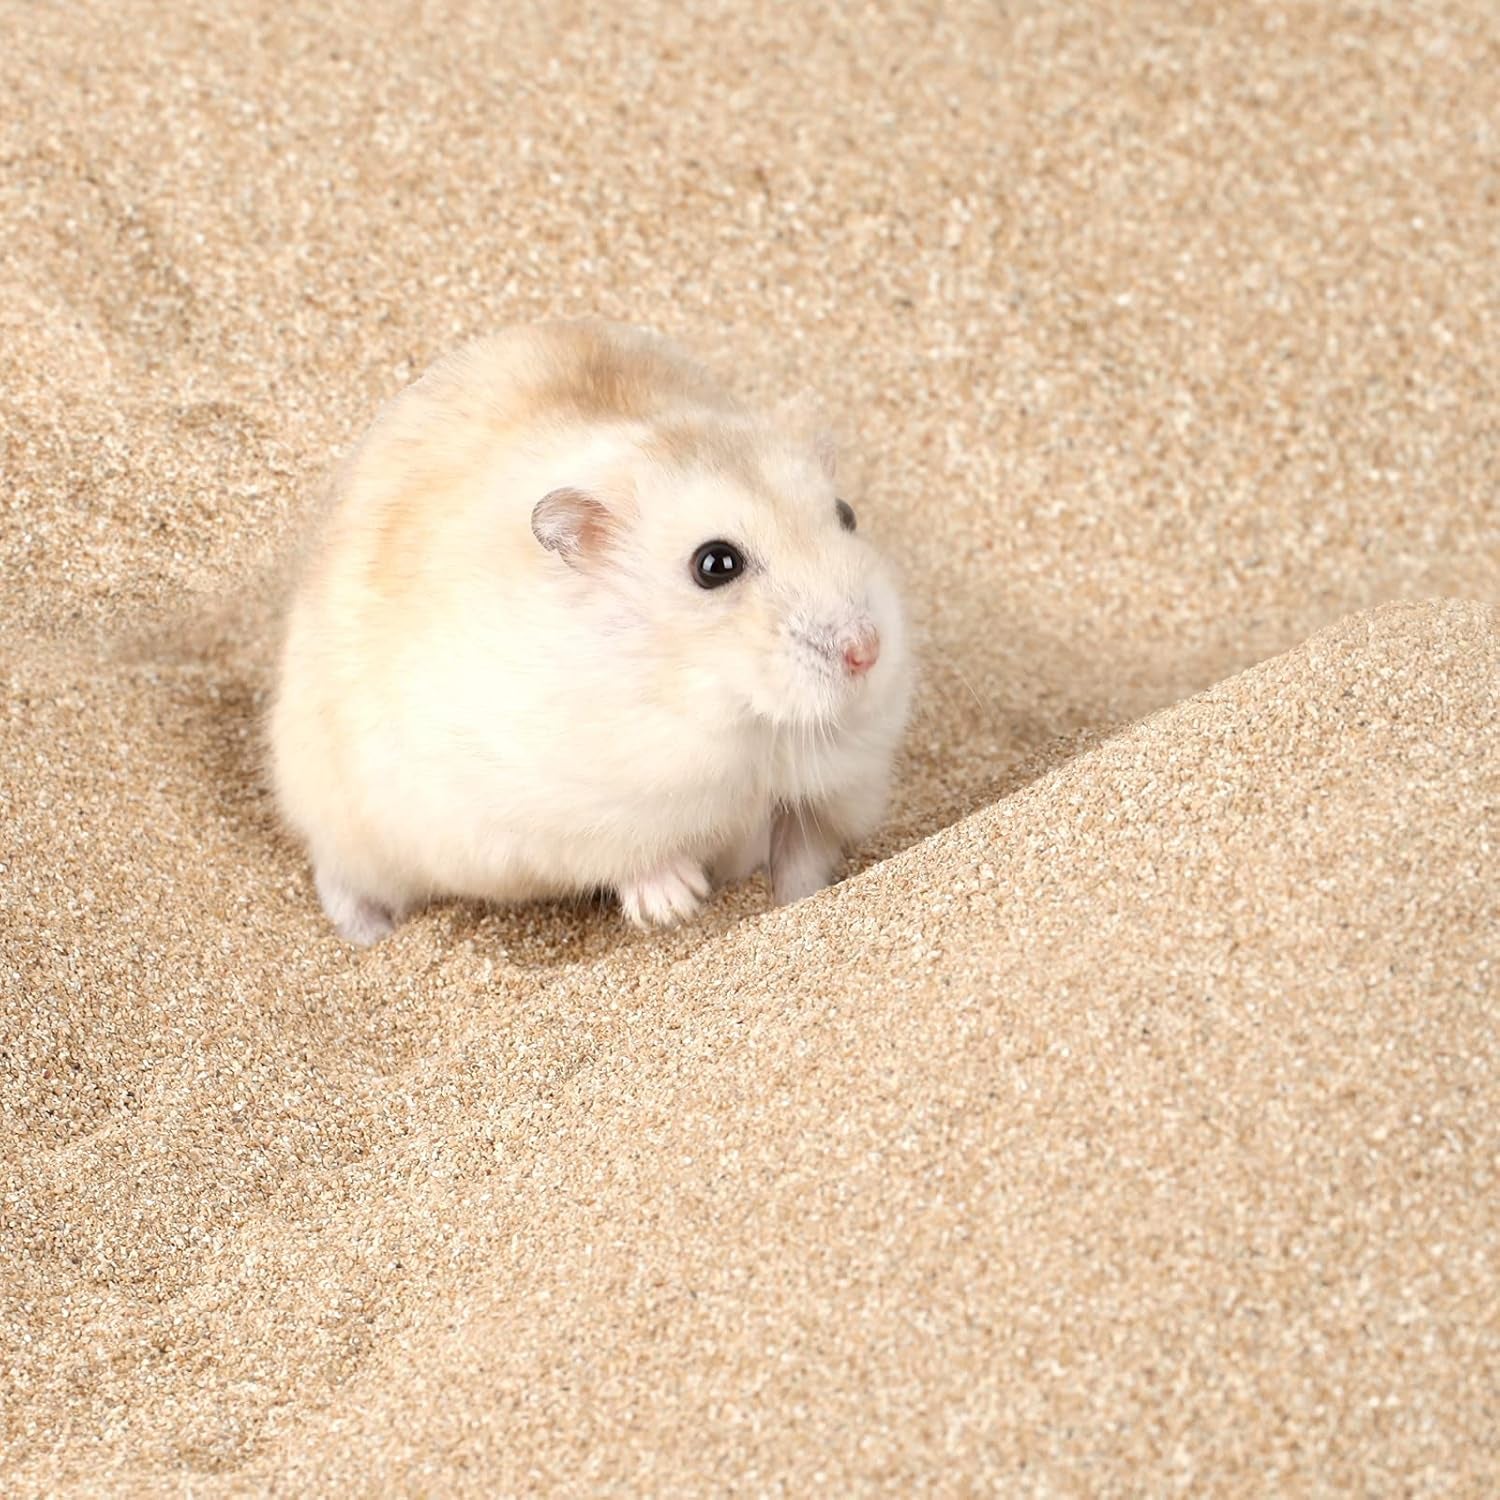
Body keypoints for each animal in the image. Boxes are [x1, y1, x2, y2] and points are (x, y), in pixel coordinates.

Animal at [268, 320, 912, 944]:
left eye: (848, 515)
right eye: (715, 564)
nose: (867, 652)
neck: (742, 723)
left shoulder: (827, 793)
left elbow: (801, 848)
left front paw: (798, 898)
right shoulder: (566, 815)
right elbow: (632, 858)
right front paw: (677, 905)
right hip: (344, 817)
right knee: (337, 876)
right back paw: (368, 936)